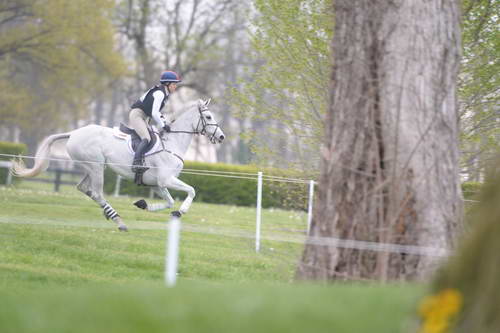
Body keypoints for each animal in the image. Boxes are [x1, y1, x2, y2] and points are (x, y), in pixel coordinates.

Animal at [10, 97, 226, 230]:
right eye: (208, 117)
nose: (222, 137)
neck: (172, 142)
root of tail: (74, 133)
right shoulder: (166, 180)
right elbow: (191, 191)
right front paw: (181, 212)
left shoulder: (157, 184)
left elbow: (169, 201)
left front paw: (143, 204)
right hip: (96, 167)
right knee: (97, 192)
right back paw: (118, 221)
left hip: (91, 167)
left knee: (84, 188)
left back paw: (109, 213)